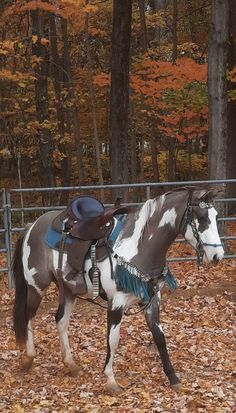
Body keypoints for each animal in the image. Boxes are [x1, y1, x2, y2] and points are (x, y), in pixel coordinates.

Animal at [13, 186, 225, 392]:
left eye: (215, 217)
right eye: (202, 218)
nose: (217, 256)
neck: (139, 247)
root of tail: (31, 226)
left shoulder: (152, 299)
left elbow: (159, 337)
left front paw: (173, 378)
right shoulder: (116, 303)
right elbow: (113, 340)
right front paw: (110, 381)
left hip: (68, 290)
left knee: (61, 321)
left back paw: (71, 364)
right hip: (36, 286)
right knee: (29, 315)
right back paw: (29, 357)